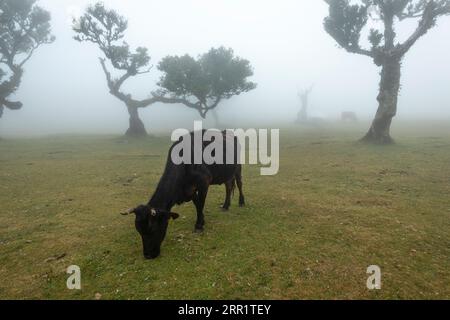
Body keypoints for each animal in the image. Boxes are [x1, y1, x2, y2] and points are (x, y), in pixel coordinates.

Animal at [121, 129, 244, 258]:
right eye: (139, 231)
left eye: (153, 229)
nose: (148, 255)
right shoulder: (189, 190)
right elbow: (197, 205)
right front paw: (202, 220)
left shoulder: (204, 183)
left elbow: (201, 205)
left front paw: (198, 226)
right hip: (227, 173)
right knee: (228, 187)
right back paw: (225, 205)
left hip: (238, 167)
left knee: (239, 184)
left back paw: (241, 202)